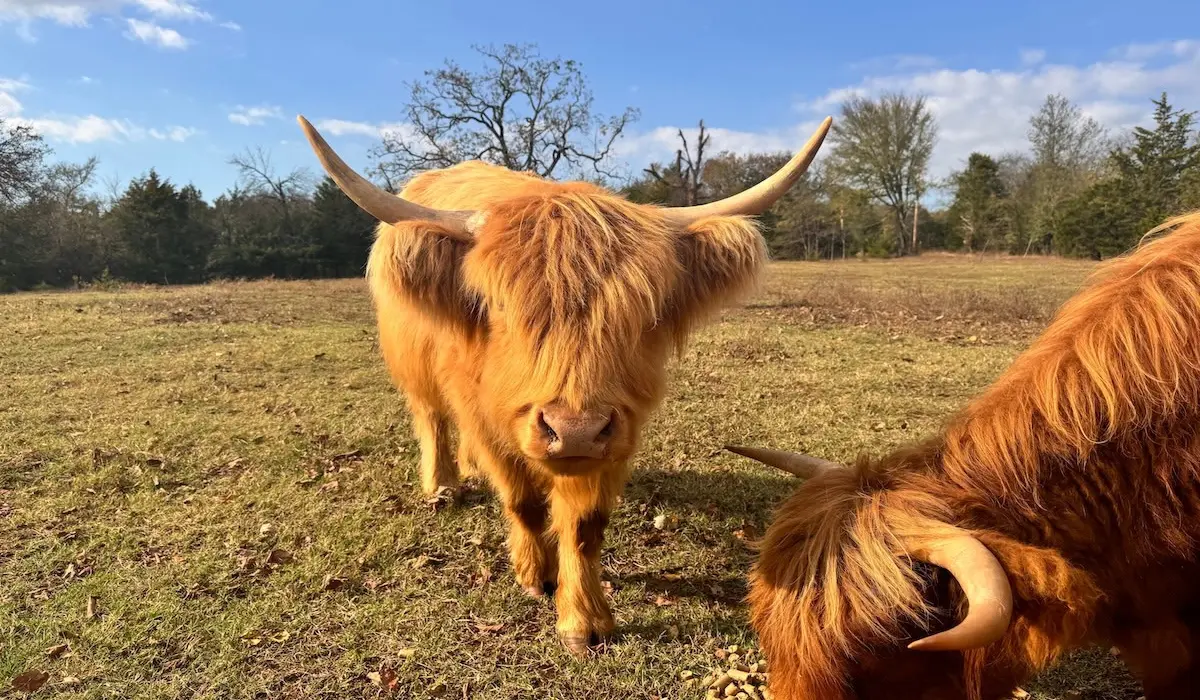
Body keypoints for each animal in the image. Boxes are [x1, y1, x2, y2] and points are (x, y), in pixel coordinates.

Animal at [295, 115, 832, 653]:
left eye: (646, 313)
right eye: (500, 306)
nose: (573, 430)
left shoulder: (617, 433)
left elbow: (584, 526)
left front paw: (584, 620)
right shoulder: (485, 417)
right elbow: (524, 502)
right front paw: (536, 575)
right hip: (415, 367)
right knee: (431, 416)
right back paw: (443, 484)